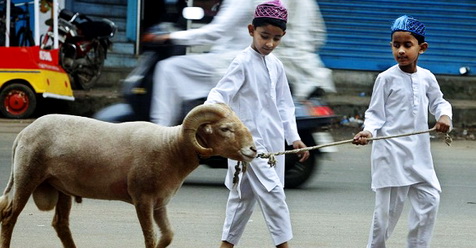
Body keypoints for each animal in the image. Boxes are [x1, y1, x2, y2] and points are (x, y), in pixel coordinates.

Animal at [0, 101, 256, 247]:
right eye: (225, 129)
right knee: (10, 217)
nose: (253, 150)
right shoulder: (142, 199)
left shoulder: (160, 203)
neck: (170, 147)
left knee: (60, 225)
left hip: (61, 187)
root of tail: (23, 133)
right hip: (27, 176)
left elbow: (168, 236)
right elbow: (150, 238)